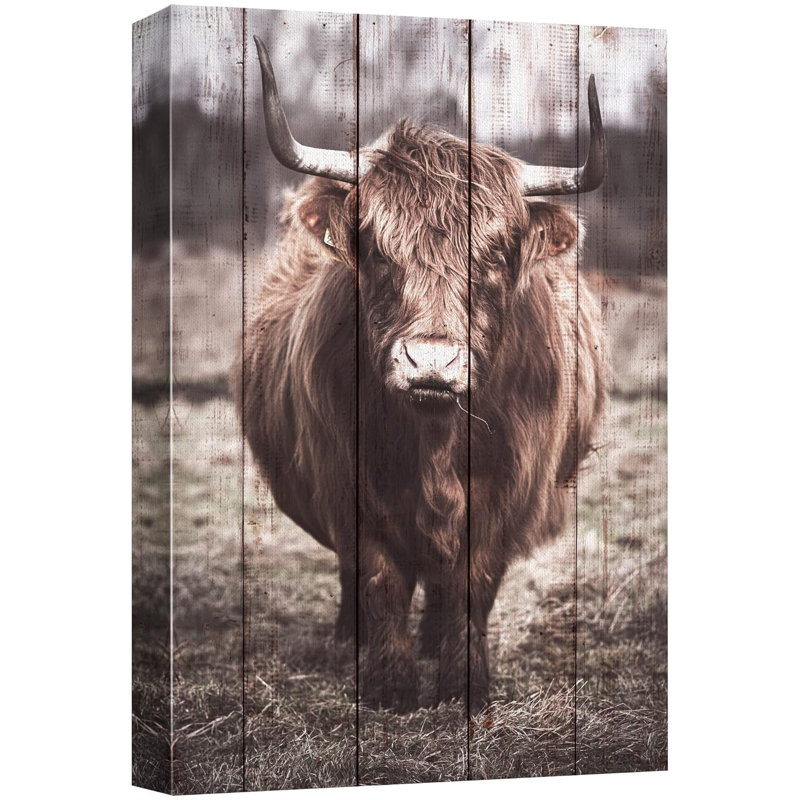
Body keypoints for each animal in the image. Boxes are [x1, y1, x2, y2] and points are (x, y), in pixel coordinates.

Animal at [234, 35, 607, 714]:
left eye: (496, 253)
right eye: (378, 250)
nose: (431, 362)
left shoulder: (509, 495)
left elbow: (474, 583)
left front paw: (466, 686)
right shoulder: (346, 483)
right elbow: (378, 578)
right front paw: (389, 685)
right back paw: (349, 639)